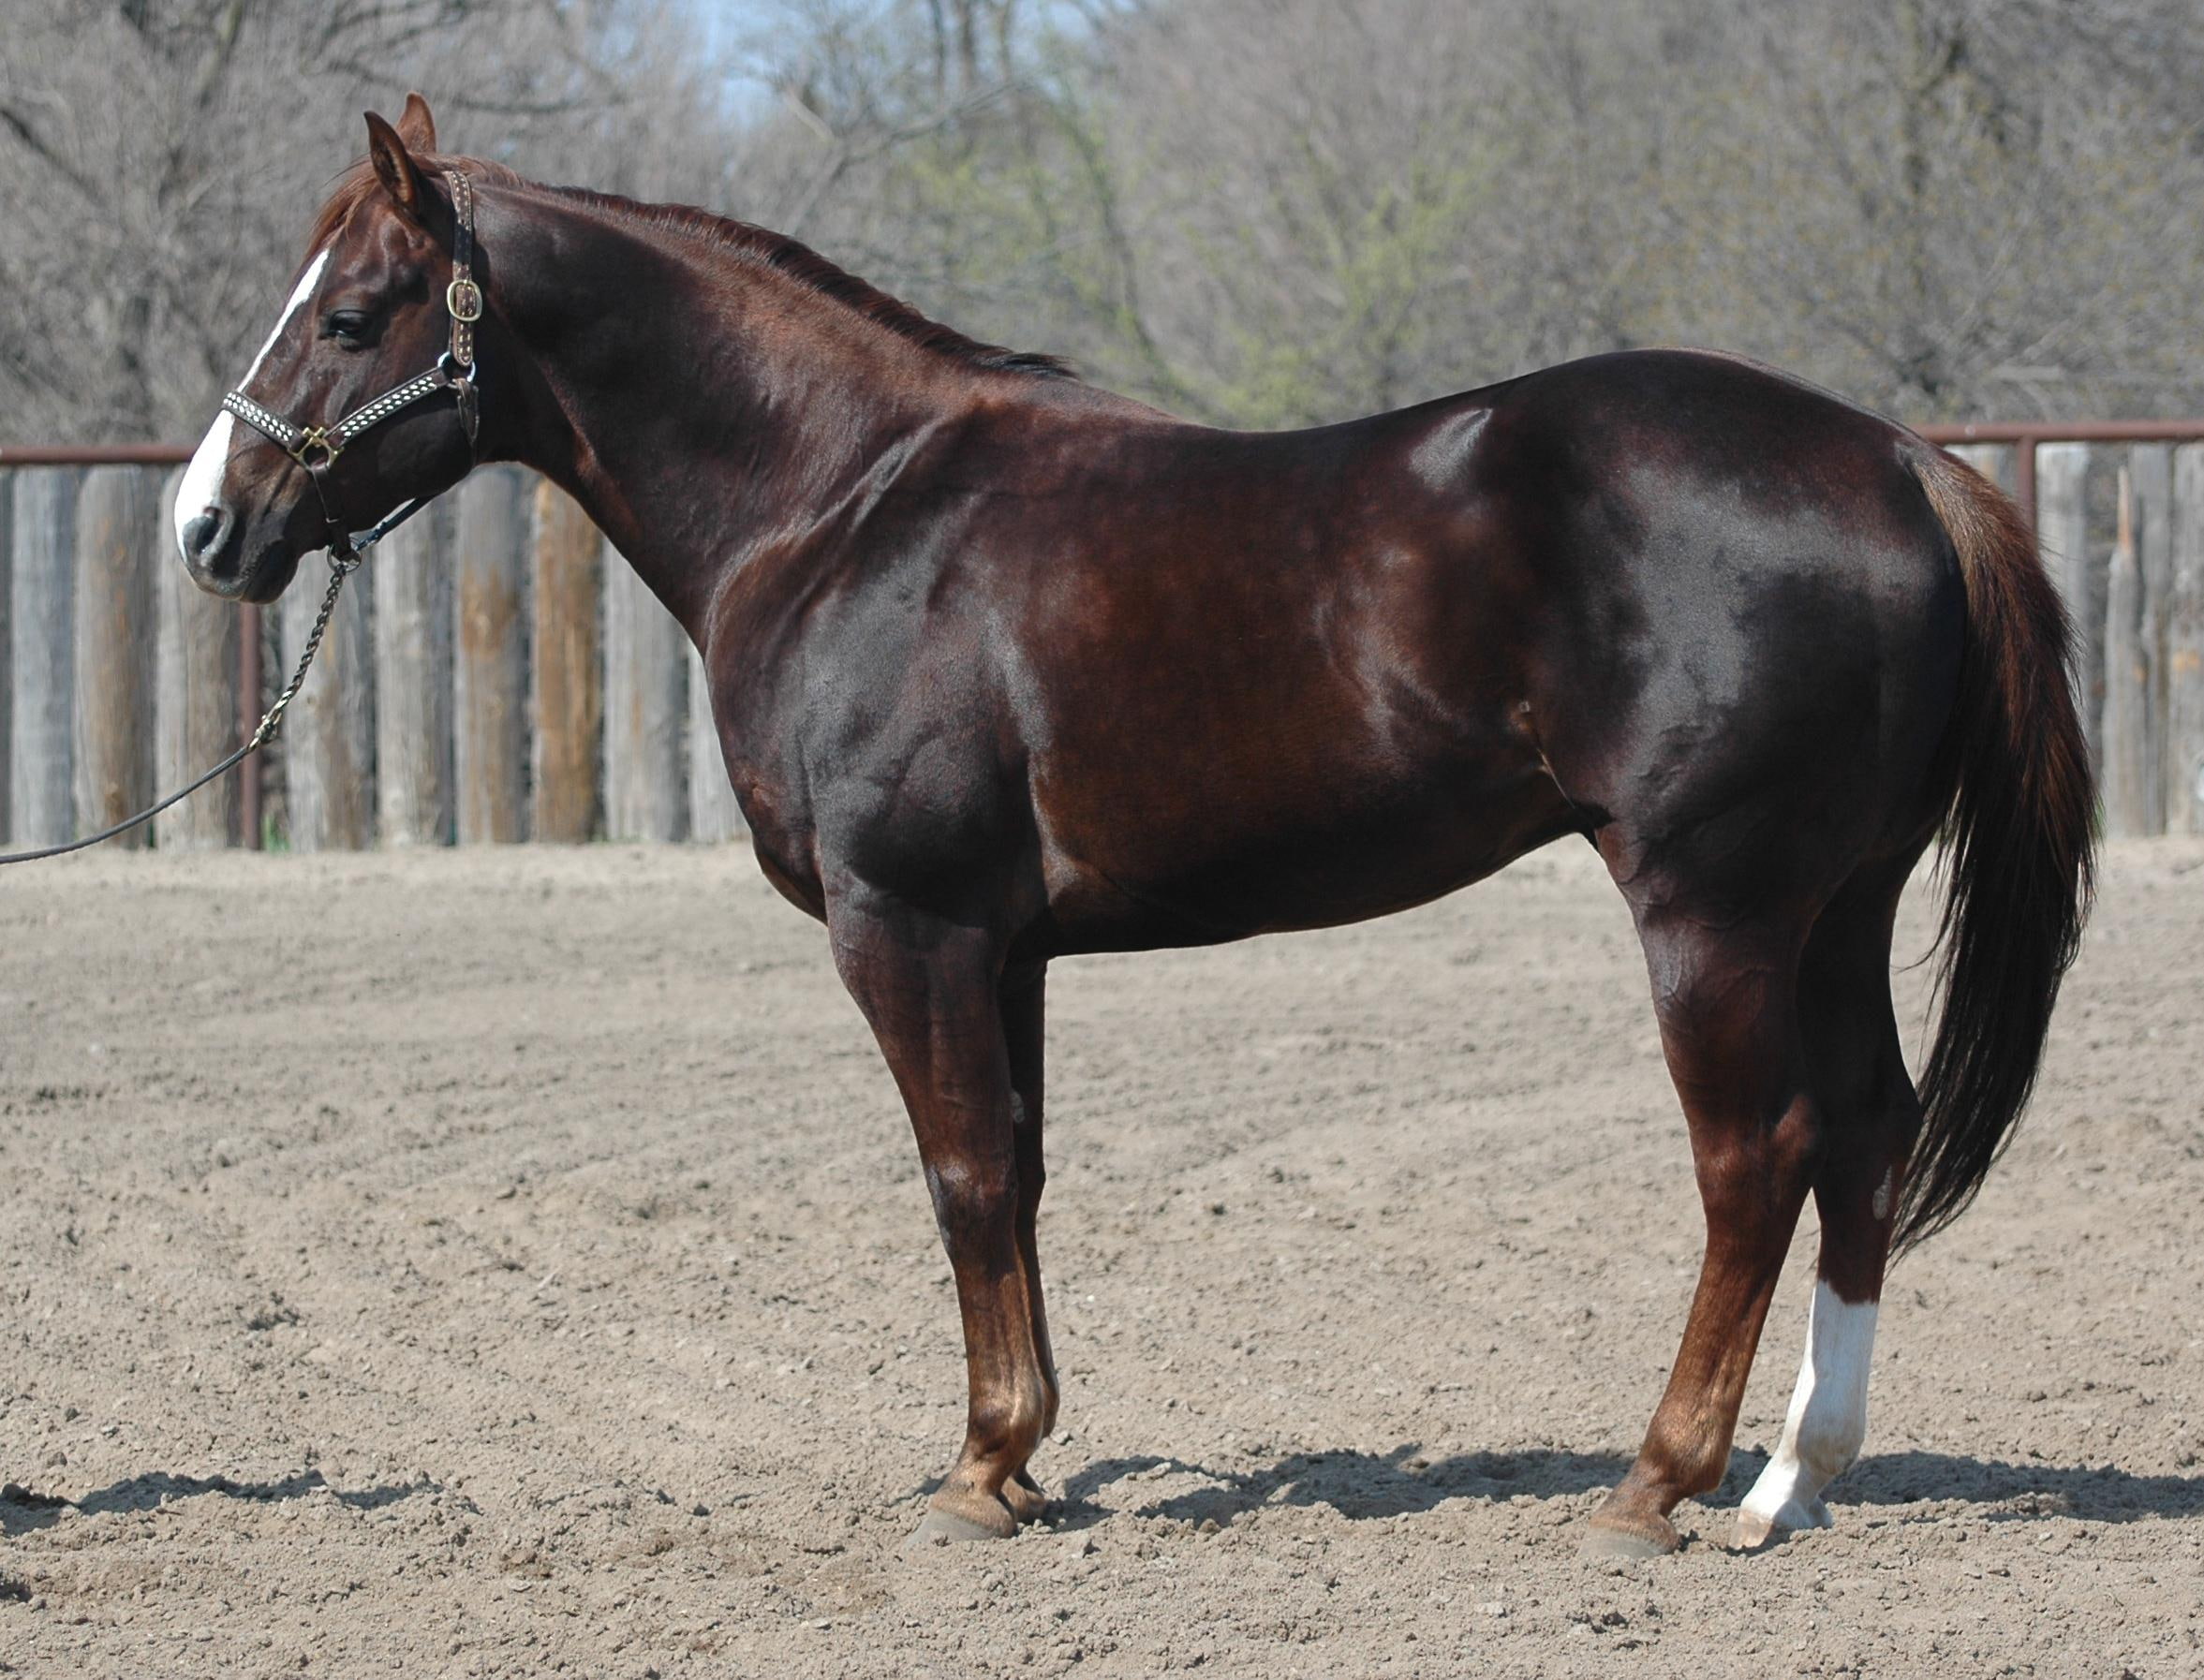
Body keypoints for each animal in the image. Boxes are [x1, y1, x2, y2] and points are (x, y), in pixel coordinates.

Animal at [173, 97, 2092, 1556]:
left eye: (349, 315)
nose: (208, 526)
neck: (844, 507)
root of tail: (1898, 459)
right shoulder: (1004, 944)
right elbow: (1016, 1170)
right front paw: (1022, 1454)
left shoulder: (908, 924)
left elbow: (958, 1177)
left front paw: (975, 1472)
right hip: (1835, 908)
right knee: (1865, 1136)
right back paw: (1787, 1483)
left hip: (1714, 910)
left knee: (1754, 1157)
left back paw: (1655, 1481)